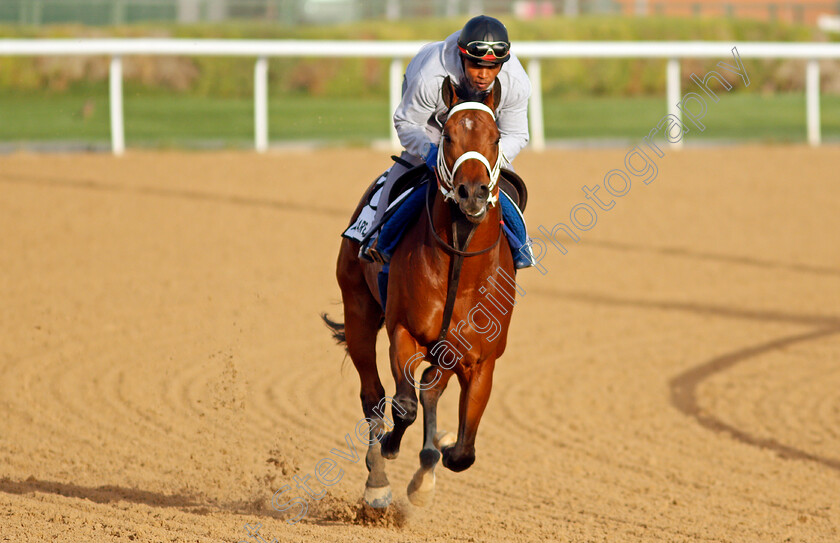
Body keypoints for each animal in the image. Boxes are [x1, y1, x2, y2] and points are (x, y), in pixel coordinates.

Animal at [324, 76, 516, 510]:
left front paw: (437, 452)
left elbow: (462, 452)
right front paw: (393, 454)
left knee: (428, 391)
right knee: (374, 395)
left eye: (496, 136)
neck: (460, 263)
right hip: (358, 310)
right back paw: (377, 480)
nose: (472, 193)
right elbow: (404, 406)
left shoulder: (479, 359)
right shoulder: (403, 332)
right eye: (447, 136)